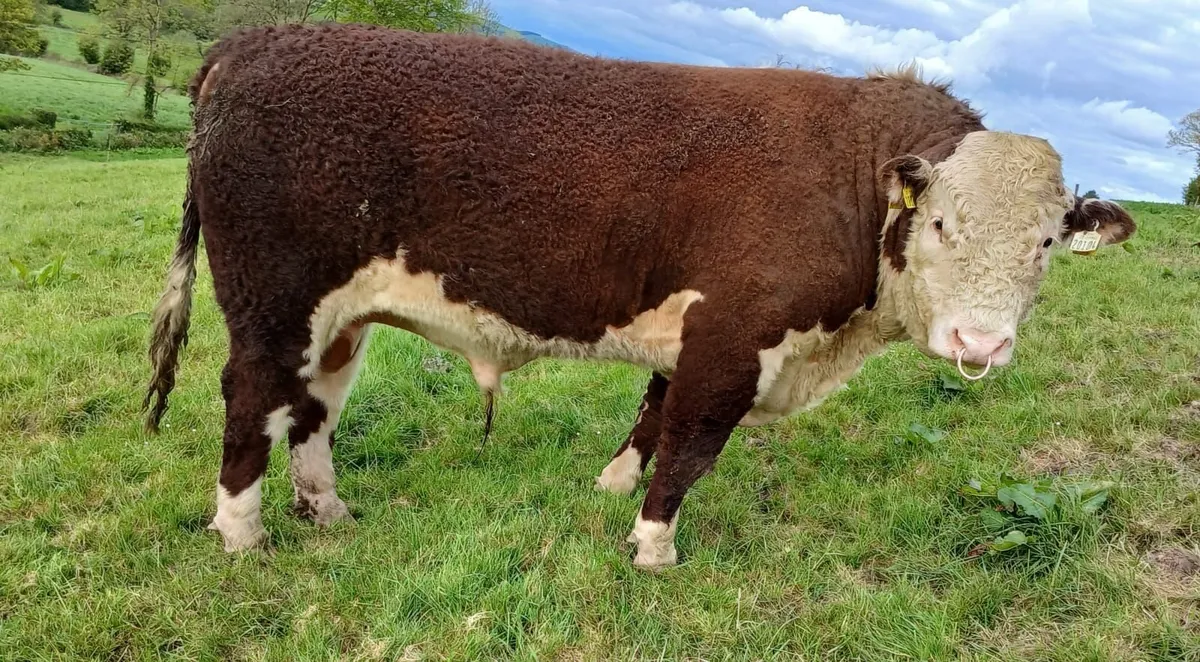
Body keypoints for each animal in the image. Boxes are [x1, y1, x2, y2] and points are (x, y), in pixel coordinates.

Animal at [143, 23, 1135, 570]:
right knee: (253, 398)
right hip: (275, 299)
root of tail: (254, 41)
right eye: (940, 225)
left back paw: (328, 510)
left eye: (1047, 242)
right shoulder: (736, 338)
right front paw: (653, 547)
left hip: (338, 317)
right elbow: (690, 447)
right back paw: (241, 534)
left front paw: (608, 490)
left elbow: (654, 415)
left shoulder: (697, 332)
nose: (980, 345)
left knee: (313, 404)